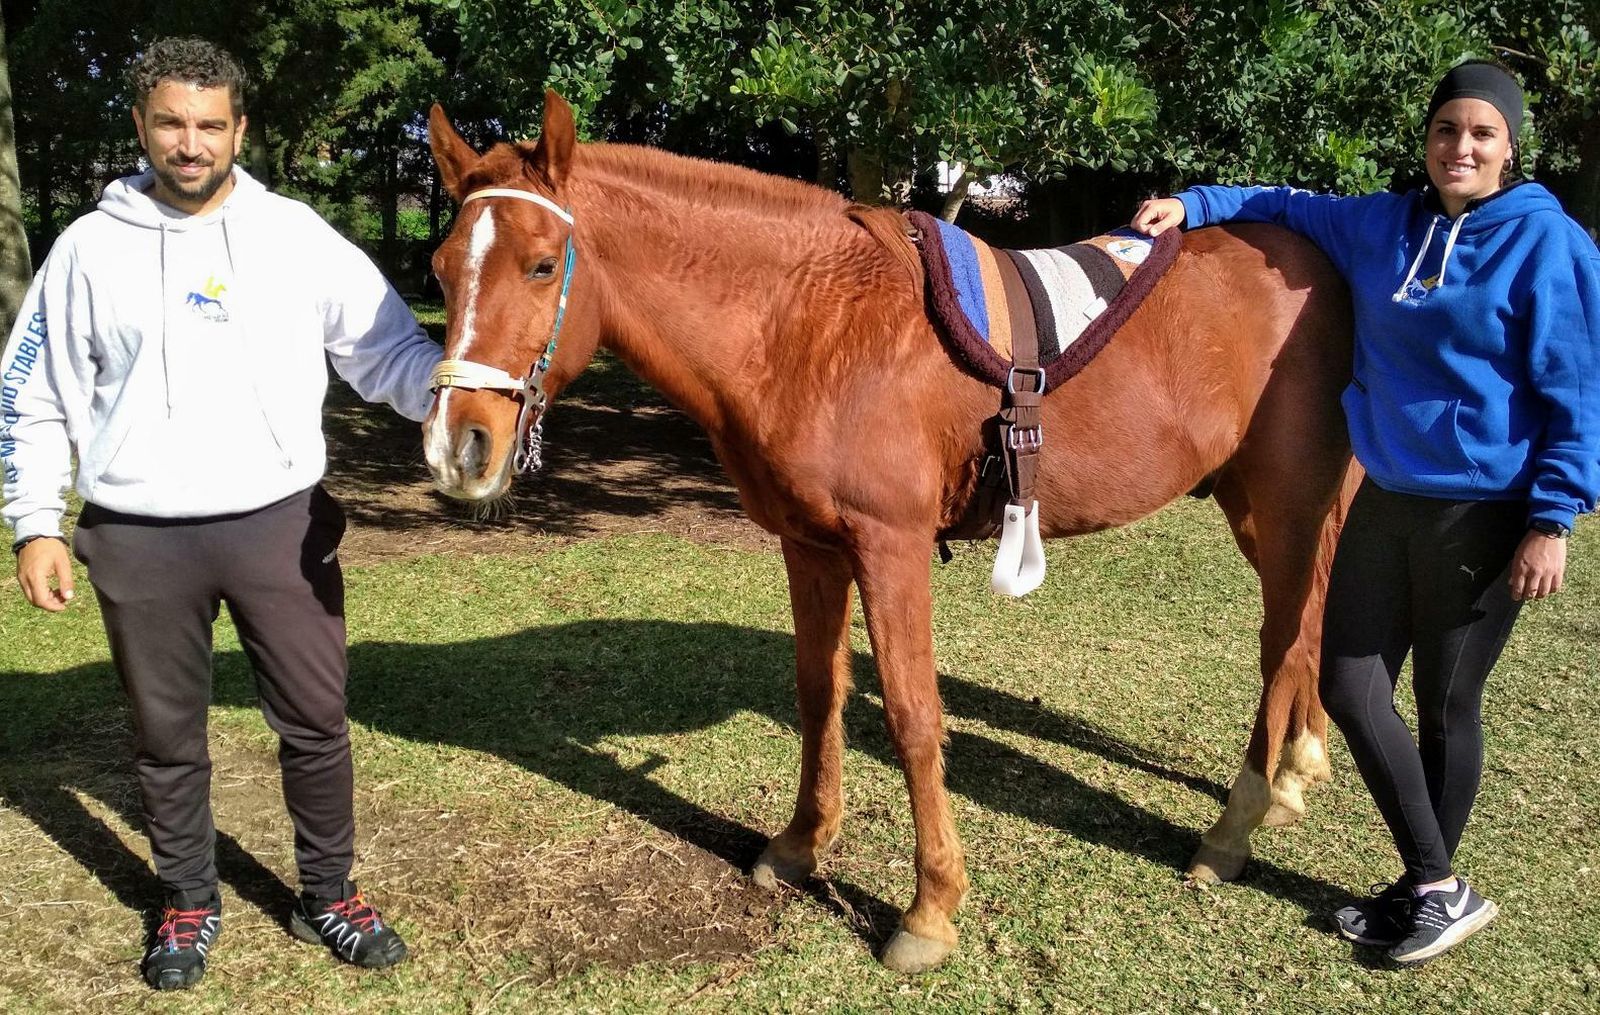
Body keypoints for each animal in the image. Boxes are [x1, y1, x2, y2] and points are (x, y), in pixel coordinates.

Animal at [421, 91, 1357, 973]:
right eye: (441, 268)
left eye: (543, 265)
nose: (458, 445)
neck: (810, 321)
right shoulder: (811, 546)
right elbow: (819, 691)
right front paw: (801, 844)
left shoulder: (891, 548)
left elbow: (912, 715)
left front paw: (930, 908)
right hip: (1263, 509)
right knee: (1310, 620)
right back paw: (1297, 768)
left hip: (1287, 505)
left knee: (1282, 641)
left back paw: (1234, 826)